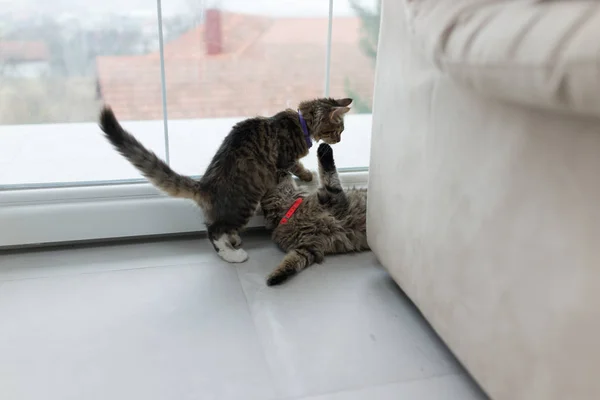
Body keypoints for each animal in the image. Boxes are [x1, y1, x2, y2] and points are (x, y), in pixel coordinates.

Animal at [99, 98, 352, 264]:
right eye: (339, 129)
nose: (340, 139)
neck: (300, 122)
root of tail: (205, 186)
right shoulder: (284, 160)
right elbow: (294, 169)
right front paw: (307, 176)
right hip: (243, 205)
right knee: (214, 231)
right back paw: (233, 254)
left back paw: (234, 240)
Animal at [260, 142, 368, 286]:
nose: (281, 169)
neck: (291, 212)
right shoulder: (308, 248)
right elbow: (291, 263)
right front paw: (277, 275)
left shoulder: (333, 196)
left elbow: (329, 173)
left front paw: (324, 148)